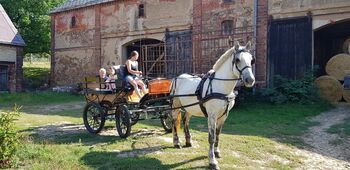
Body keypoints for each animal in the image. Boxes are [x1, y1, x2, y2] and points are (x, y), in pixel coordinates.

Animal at [171, 40, 256, 169]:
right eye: (237, 60)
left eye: (251, 60)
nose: (250, 80)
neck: (221, 86)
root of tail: (178, 77)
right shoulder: (212, 116)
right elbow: (211, 137)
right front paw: (212, 161)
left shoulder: (224, 116)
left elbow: (218, 134)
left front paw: (216, 152)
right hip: (175, 107)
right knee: (174, 122)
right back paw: (176, 142)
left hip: (190, 108)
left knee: (186, 121)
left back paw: (188, 141)